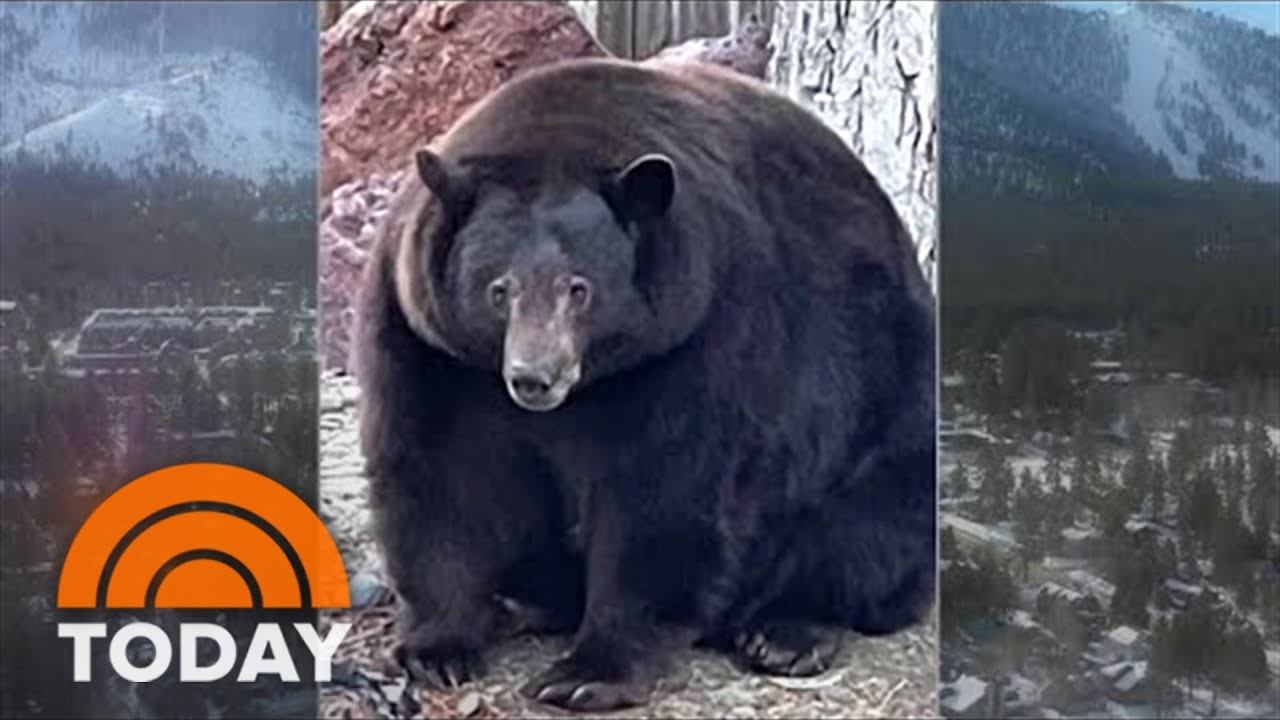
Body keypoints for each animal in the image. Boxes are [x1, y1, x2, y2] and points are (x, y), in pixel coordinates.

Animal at [353, 56, 936, 712]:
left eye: (579, 289)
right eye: (499, 289)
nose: (534, 378)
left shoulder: (701, 331)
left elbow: (664, 492)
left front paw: (585, 673)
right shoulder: (429, 343)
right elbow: (441, 473)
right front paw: (438, 648)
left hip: (888, 393)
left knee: (864, 528)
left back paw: (784, 632)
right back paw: (521, 601)